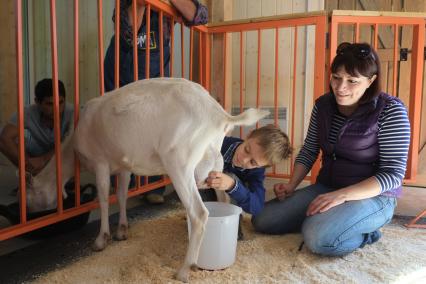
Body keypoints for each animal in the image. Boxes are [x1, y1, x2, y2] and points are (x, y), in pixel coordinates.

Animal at [27, 77, 266, 282]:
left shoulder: (100, 163)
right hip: (214, 161)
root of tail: (219, 115)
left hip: (180, 162)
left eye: (32, 194)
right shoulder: (123, 167)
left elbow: (103, 199)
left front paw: (101, 239)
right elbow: (121, 195)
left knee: (199, 213)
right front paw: (122, 230)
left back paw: (184, 270)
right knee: (223, 198)